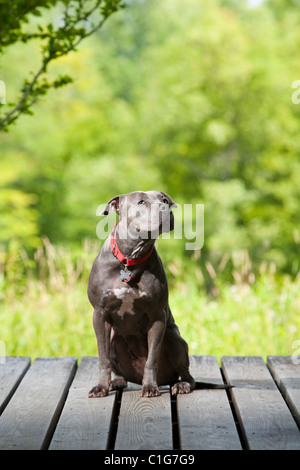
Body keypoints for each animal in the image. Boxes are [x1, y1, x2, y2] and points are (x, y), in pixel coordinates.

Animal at [86, 191, 230, 396]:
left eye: (164, 200)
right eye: (141, 202)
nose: (165, 208)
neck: (130, 259)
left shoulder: (157, 316)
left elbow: (152, 358)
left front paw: (150, 387)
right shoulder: (100, 314)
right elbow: (103, 357)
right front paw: (101, 387)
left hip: (173, 338)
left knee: (187, 376)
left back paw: (181, 385)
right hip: (114, 336)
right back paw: (118, 381)